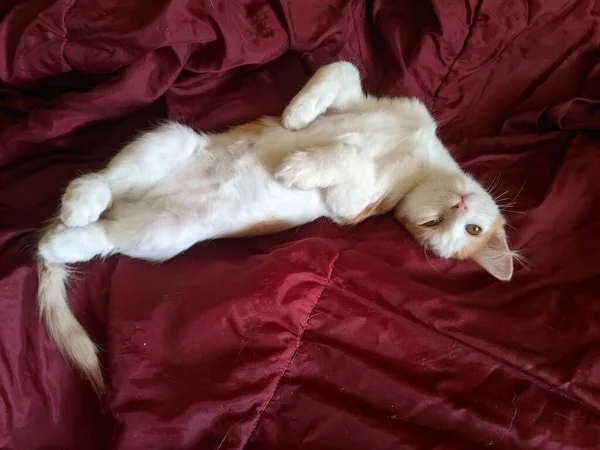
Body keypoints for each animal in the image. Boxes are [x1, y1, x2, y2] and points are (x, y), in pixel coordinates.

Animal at [37, 61, 516, 392]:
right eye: (442, 224)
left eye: (461, 230)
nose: (457, 209)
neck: (419, 156)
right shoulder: (370, 104)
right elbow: (341, 69)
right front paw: (298, 114)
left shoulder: (352, 205)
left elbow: (349, 156)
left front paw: (299, 167)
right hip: (169, 140)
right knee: (104, 180)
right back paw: (83, 199)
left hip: (162, 235)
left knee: (102, 235)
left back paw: (63, 240)